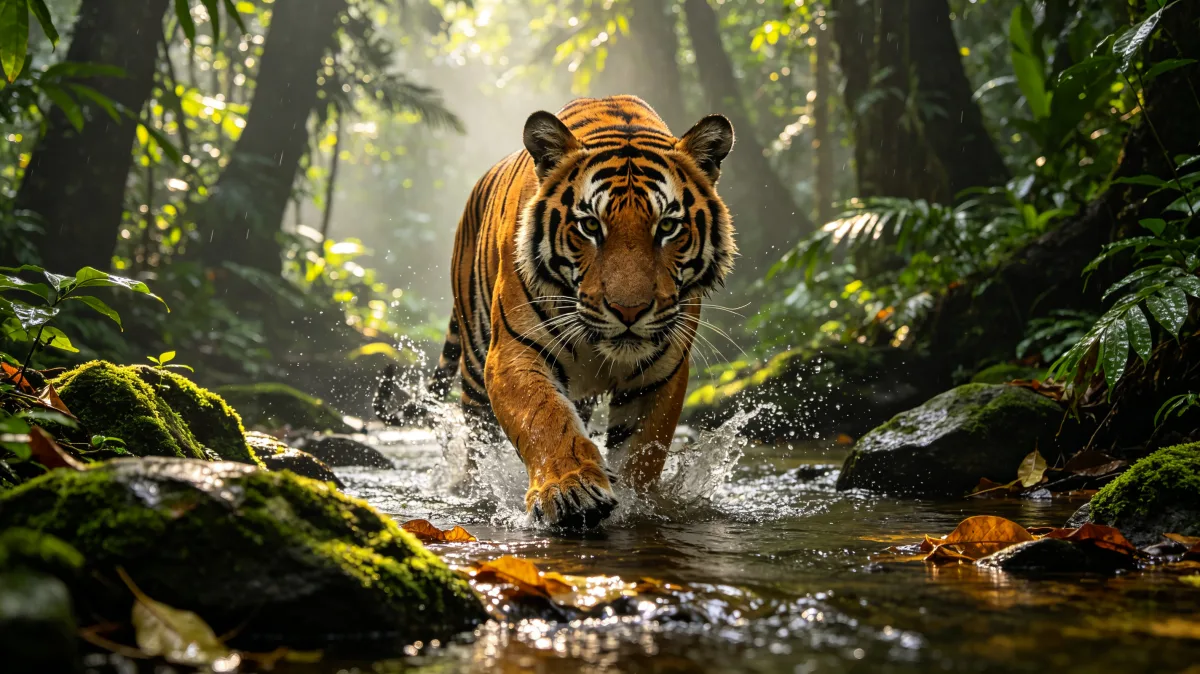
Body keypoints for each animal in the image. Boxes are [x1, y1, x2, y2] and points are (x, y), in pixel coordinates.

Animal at [375, 95, 736, 529]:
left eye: (667, 227)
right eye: (590, 226)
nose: (628, 311)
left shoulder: (659, 372)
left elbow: (643, 452)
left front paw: (637, 502)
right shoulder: (514, 352)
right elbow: (545, 418)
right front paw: (571, 490)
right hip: (475, 367)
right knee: (480, 443)